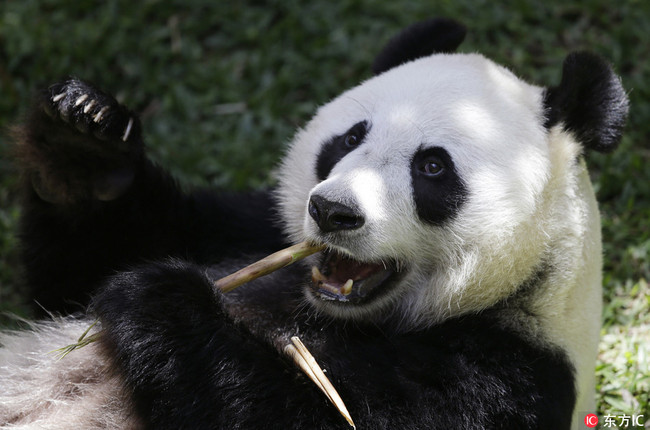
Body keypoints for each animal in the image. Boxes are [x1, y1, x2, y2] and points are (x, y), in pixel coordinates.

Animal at [0, 18, 628, 428]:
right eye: (349, 139)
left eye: (432, 167)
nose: (331, 211)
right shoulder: (248, 232)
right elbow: (71, 280)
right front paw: (83, 146)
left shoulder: (502, 373)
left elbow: (308, 413)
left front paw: (161, 297)